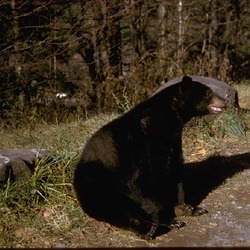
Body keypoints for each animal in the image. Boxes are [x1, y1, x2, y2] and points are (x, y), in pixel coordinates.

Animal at [73, 76, 226, 240]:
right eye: (208, 92)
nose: (224, 100)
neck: (167, 121)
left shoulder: (173, 142)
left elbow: (175, 173)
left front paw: (188, 208)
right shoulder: (144, 145)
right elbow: (146, 181)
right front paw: (170, 220)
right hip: (97, 184)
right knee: (113, 207)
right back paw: (148, 228)